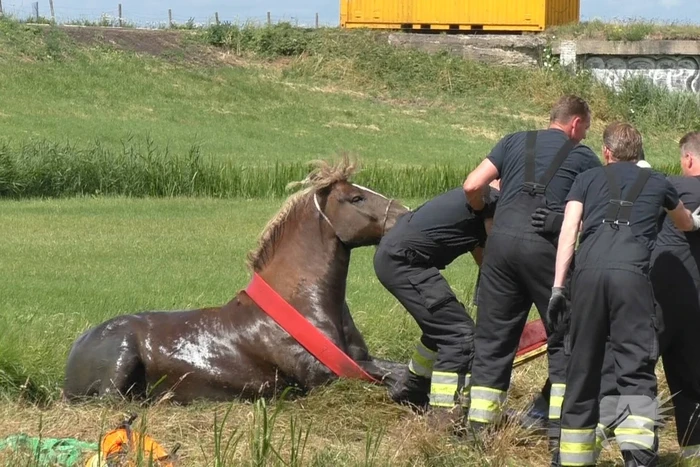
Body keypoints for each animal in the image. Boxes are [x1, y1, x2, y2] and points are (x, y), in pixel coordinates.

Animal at [63, 157, 411, 404]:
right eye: (356, 198)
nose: (406, 215)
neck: (302, 304)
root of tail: (76, 346)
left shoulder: (360, 361)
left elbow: (400, 370)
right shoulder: (324, 378)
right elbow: (393, 380)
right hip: (120, 361)